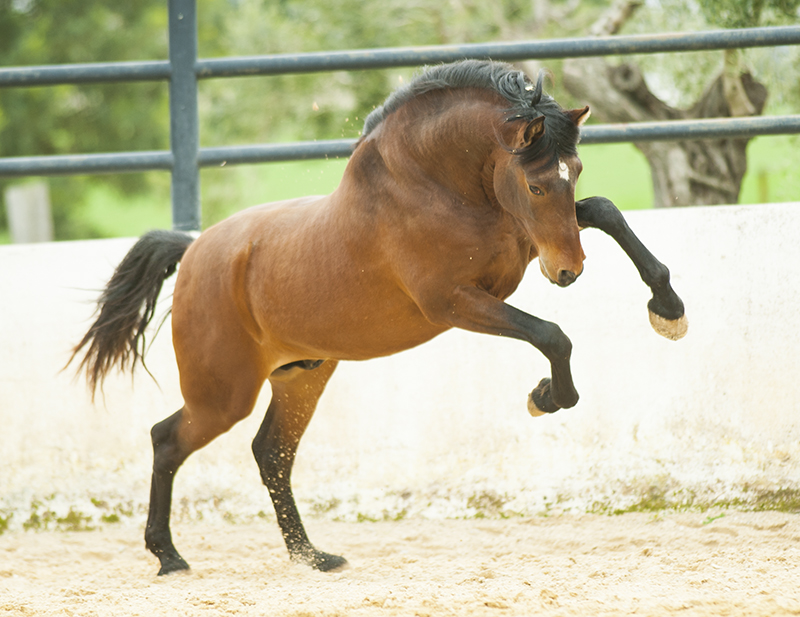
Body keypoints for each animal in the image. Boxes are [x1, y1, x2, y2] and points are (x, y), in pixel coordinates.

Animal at [70, 59, 687, 576]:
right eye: (536, 183)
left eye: (575, 170)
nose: (568, 273)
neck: (436, 187)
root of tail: (195, 249)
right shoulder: (456, 301)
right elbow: (552, 336)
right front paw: (545, 397)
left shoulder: (520, 249)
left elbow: (603, 211)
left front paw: (669, 310)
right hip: (223, 394)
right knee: (168, 440)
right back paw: (170, 557)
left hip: (301, 376)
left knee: (269, 453)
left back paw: (311, 556)